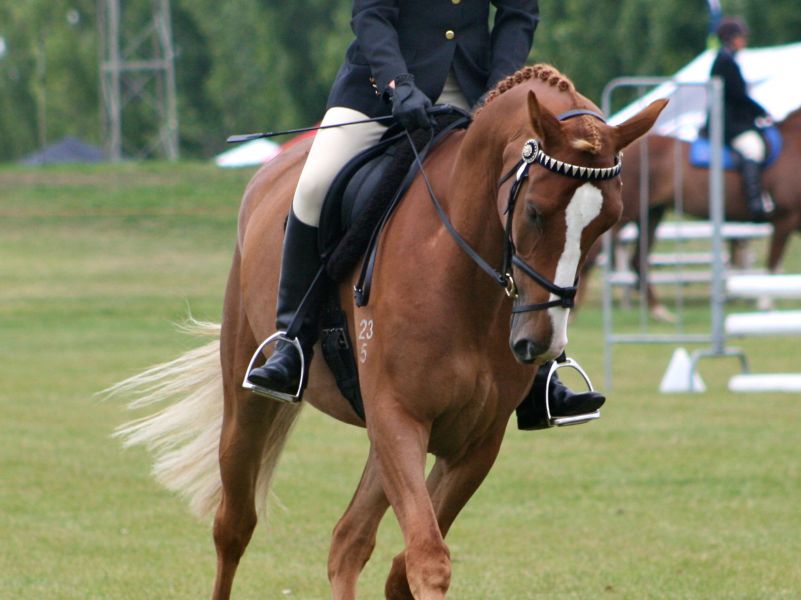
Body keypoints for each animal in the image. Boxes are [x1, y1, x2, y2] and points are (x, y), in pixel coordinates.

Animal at [112, 63, 664, 596]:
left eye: (607, 223)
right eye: (534, 211)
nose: (539, 343)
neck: (462, 278)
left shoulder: (475, 441)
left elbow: (405, 564)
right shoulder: (400, 417)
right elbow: (427, 559)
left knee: (346, 541)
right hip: (250, 398)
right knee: (234, 526)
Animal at [580, 106, 800, 314]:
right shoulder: (785, 220)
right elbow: (773, 264)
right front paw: (765, 303)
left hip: (651, 214)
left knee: (638, 261)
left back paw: (658, 311)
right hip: (626, 214)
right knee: (593, 255)